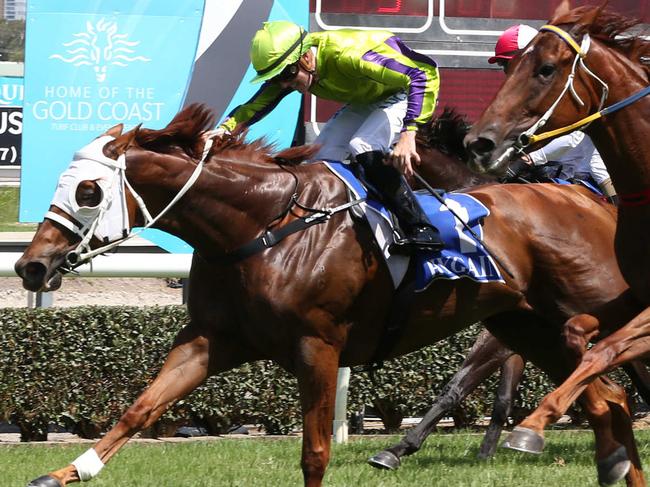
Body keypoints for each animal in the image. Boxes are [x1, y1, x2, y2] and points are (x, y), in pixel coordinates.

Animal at [16, 104, 644, 487]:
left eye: (88, 191)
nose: (29, 265)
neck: (259, 228)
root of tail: (592, 200)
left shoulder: (318, 346)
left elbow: (314, 451)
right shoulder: (210, 339)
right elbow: (139, 408)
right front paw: (68, 471)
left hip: (592, 307)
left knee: (613, 374)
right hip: (529, 326)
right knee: (606, 399)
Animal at [460, 0, 650, 466]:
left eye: (546, 69)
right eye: (509, 69)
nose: (478, 144)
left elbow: (607, 350)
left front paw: (533, 425)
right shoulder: (627, 296)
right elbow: (580, 335)